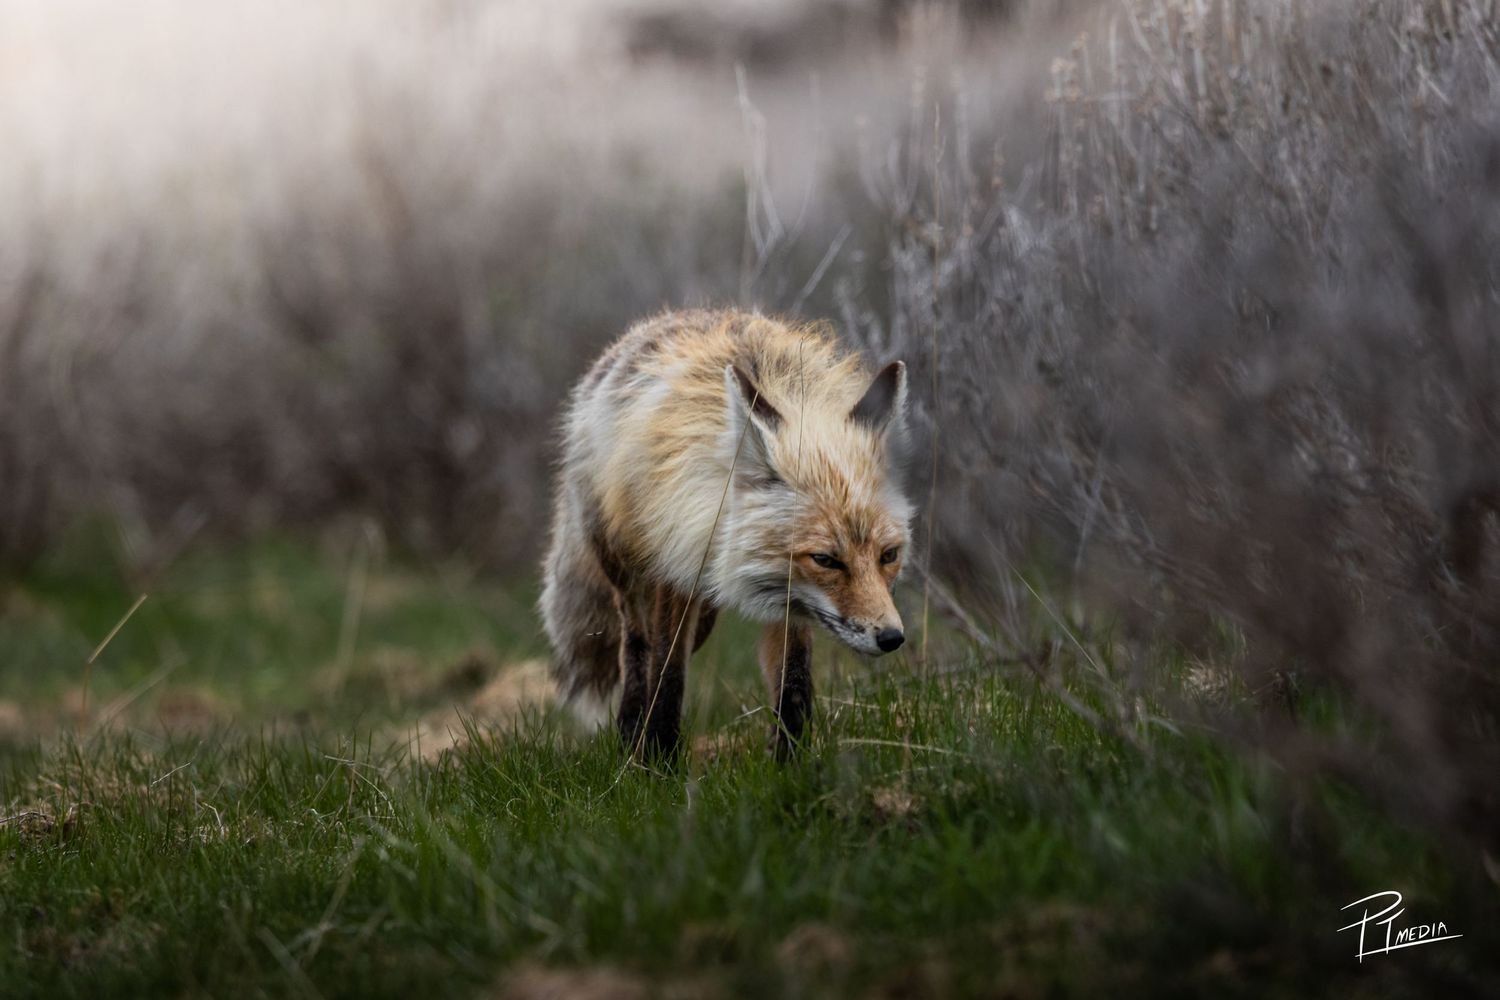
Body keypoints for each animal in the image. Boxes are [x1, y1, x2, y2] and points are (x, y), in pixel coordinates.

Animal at [540, 309, 913, 759]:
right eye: (826, 560)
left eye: (888, 555)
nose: (892, 637)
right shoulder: (676, 562)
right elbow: (667, 674)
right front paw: (658, 760)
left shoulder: (791, 600)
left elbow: (793, 684)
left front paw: (790, 762)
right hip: (626, 573)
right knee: (636, 644)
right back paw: (630, 729)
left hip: (705, 614)